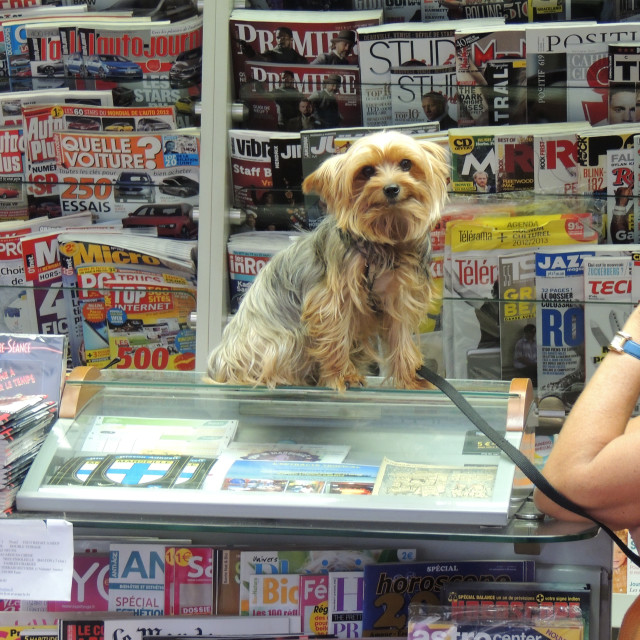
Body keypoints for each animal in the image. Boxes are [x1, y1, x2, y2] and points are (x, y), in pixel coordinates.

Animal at [208, 130, 448, 390]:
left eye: (406, 164)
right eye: (367, 171)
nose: (391, 188)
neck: (383, 240)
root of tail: (219, 363)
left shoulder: (397, 296)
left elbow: (401, 337)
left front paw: (410, 379)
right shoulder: (333, 299)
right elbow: (336, 336)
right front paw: (343, 375)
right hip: (281, 339)